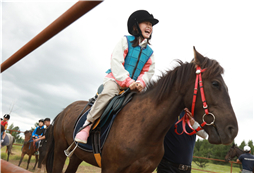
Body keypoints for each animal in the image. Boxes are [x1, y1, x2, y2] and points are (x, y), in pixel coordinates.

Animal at [45, 47, 238, 173]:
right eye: (216, 84)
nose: (232, 130)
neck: (143, 128)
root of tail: (64, 111)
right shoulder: (111, 169)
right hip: (60, 152)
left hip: (77, 156)